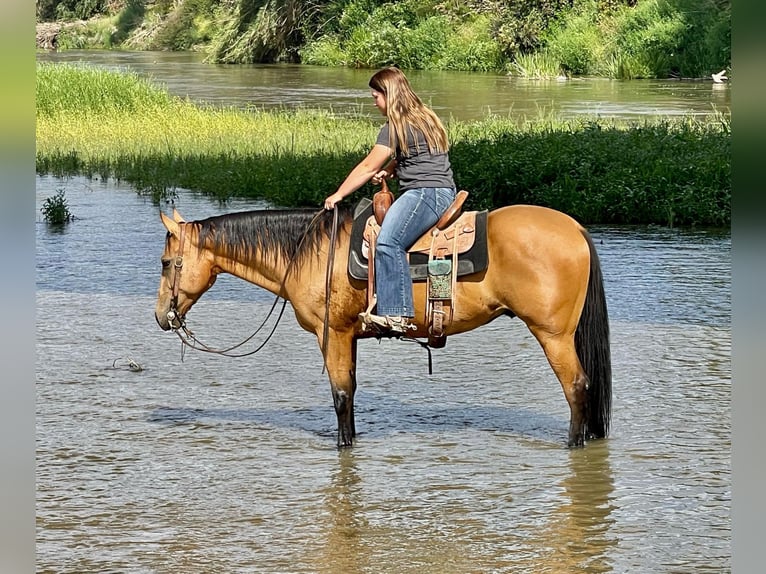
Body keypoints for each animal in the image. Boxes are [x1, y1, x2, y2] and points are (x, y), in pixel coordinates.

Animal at [154, 201, 612, 450]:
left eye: (166, 262)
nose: (161, 316)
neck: (310, 251)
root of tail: (574, 228)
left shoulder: (333, 334)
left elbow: (340, 395)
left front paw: (342, 445)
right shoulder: (349, 336)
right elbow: (351, 392)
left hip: (553, 336)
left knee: (577, 387)